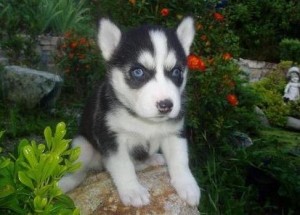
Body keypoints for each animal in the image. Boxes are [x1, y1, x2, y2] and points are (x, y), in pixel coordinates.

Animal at [59, 16, 200, 207]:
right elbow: (123, 166)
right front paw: (133, 190)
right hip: (81, 145)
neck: (144, 120)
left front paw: (187, 185)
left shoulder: (175, 132)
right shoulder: (111, 138)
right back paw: (67, 182)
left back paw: (151, 160)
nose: (166, 105)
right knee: (78, 171)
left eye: (177, 71)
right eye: (138, 72)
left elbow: (180, 159)